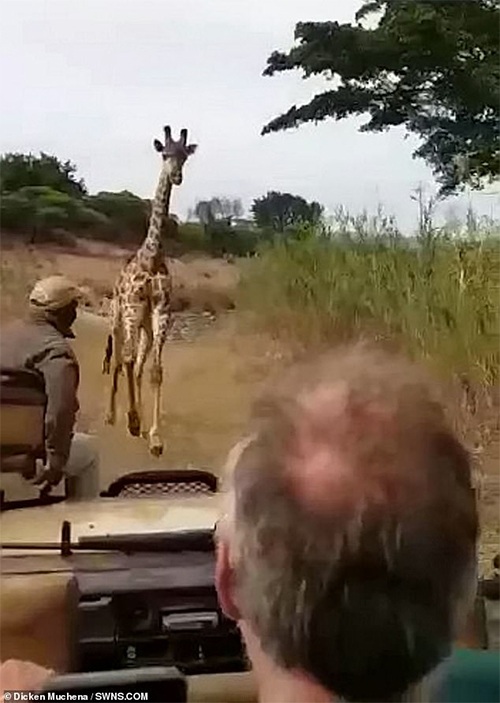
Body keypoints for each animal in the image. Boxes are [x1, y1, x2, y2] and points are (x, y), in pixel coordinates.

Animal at [103, 124, 197, 460]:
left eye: (184, 156)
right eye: (164, 154)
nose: (177, 176)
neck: (152, 256)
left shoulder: (161, 312)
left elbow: (155, 370)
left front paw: (154, 436)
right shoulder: (132, 309)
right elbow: (128, 362)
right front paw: (131, 420)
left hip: (144, 325)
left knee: (139, 365)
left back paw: (140, 422)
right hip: (119, 320)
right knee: (120, 360)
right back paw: (113, 416)